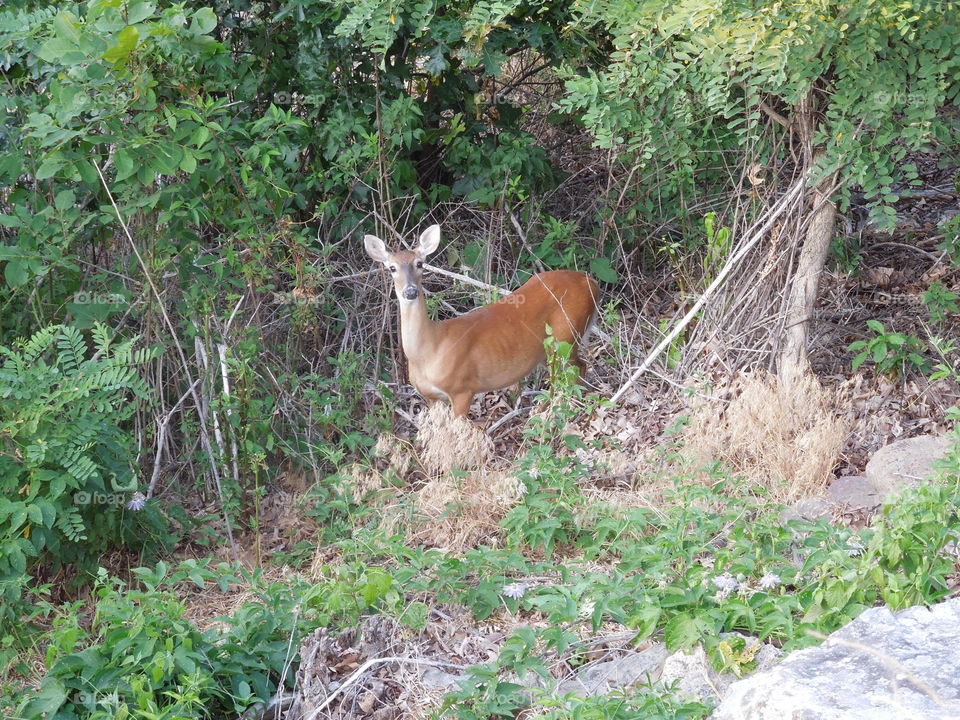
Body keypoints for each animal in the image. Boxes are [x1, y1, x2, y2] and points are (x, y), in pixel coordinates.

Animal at [364, 224, 599, 418]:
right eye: (391, 268)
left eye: (420, 263)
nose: (410, 291)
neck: (429, 350)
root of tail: (590, 282)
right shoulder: (431, 397)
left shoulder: (462, 389)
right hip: (550, 347)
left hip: (565, 335)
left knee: (573, 370)